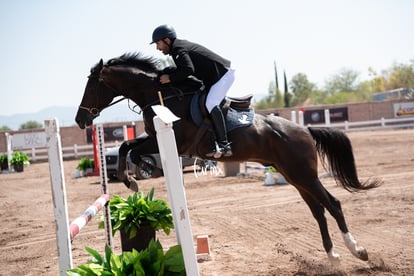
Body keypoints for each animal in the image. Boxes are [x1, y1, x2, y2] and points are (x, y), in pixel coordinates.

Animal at [75, 52, 382, 264]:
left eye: (91, 86)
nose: (80, 120)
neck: (161, 94)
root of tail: (304, 129)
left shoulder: (173, 140)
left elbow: (135, 151)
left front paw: (139, 174)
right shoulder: (153, 138)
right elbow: (126, 146)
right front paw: (130, 180)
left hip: (304, 174)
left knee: (333, 204)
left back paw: (358, 250)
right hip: (294, 176)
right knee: (318, 210)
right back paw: (332, 255)